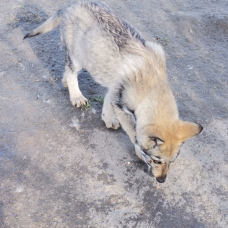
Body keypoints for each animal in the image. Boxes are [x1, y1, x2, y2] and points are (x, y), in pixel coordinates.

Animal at [23, 0, 203, 183]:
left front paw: (108, 120)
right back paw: (76, 96)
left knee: (68, 69)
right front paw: (137, 150)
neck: (152, 87)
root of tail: (72, 5)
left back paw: (66, 83)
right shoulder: (121, 102)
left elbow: (107, 103)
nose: (161, 180)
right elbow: (134, 134)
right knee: (72, 71)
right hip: (77, 56)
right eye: (155, 160)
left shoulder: (115, 89)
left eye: (171, 161)